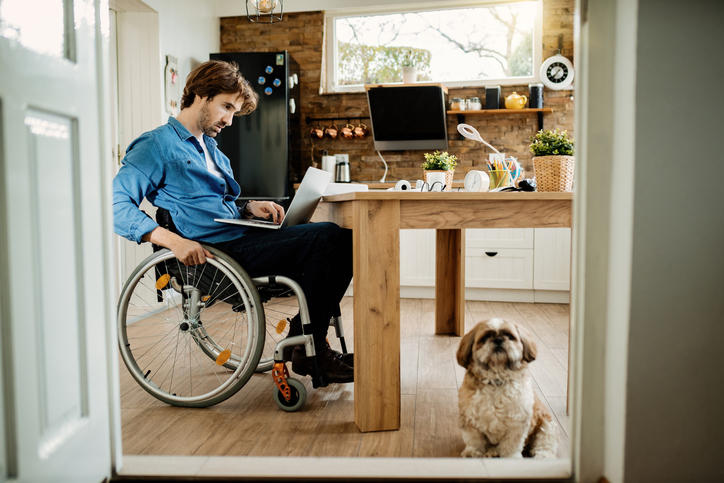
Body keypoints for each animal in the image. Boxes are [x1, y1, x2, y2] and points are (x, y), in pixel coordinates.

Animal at [456, 320, 556, 460]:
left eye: (509, 336)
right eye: (485, 337)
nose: (498, 340)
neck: (496, 380)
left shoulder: (517, 422)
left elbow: (511, 445)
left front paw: (511, 458)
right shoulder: (469, 419)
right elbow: (474, 440)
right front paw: (473, 453)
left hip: (546, 426)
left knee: (545, 445)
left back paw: (542, 456)